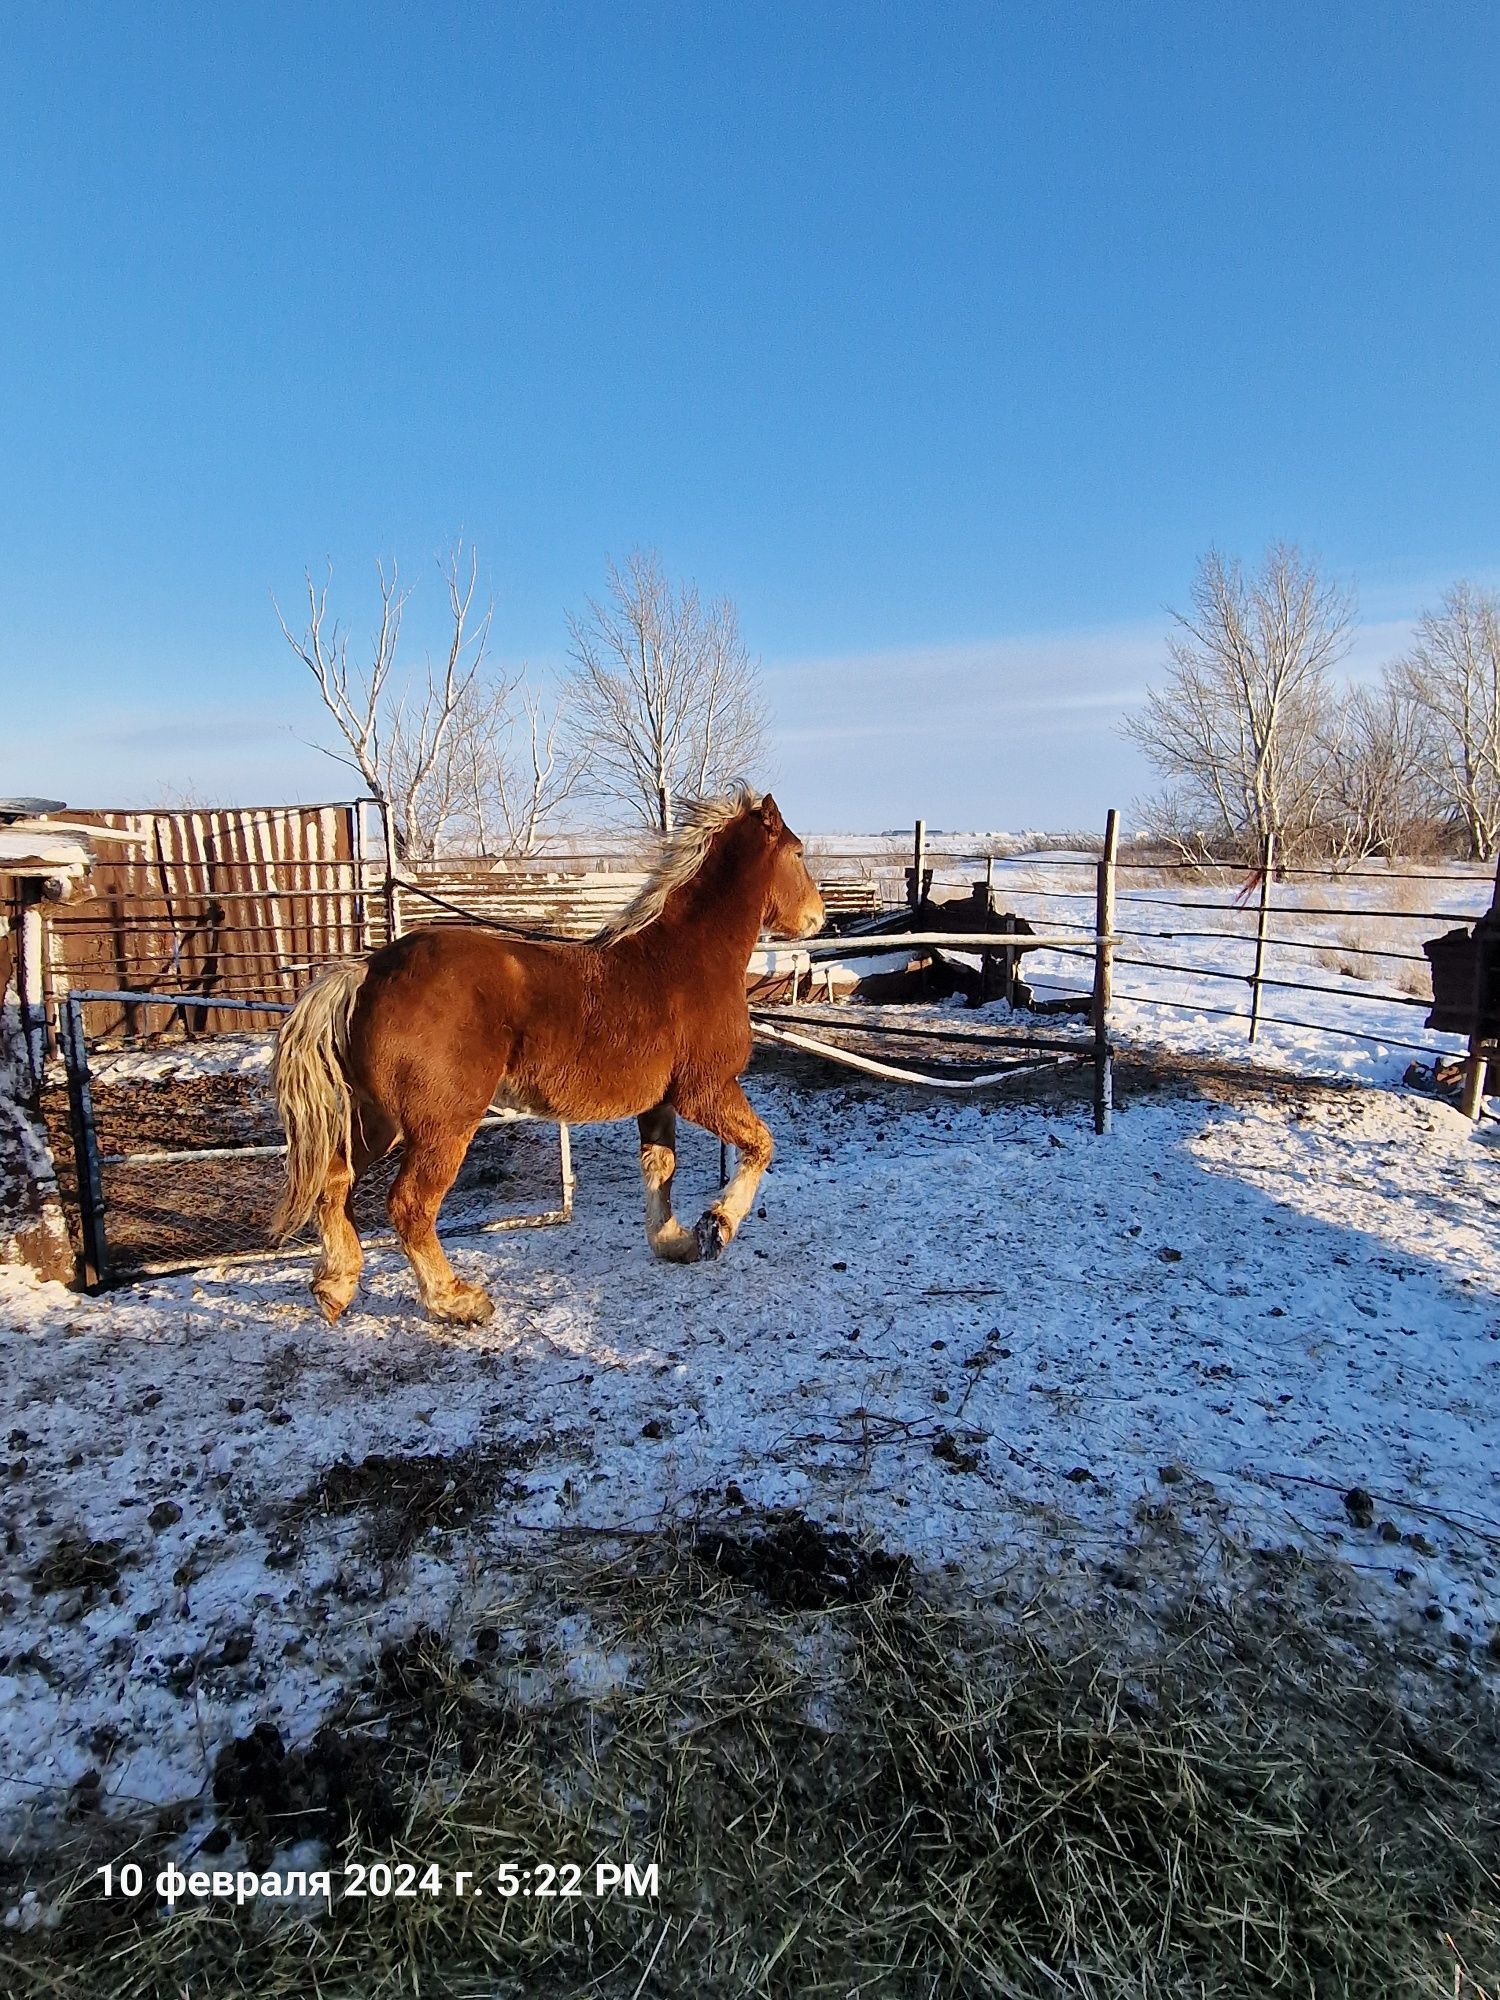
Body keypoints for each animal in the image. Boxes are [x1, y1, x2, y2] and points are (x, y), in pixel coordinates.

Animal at [270, 792, 824, 1328]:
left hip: (377, 1120)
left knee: (334, 1182)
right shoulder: (705, 1091)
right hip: (442, 1125)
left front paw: (675, 1240)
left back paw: (335, 1288)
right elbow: (760, 1146)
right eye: (798, 853)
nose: (817, 917)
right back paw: (457, 1301)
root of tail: (365, 972)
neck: (686, 960)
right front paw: (717, 1226)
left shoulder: (659, 1103)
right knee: (409, 1206)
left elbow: (660, 1168)